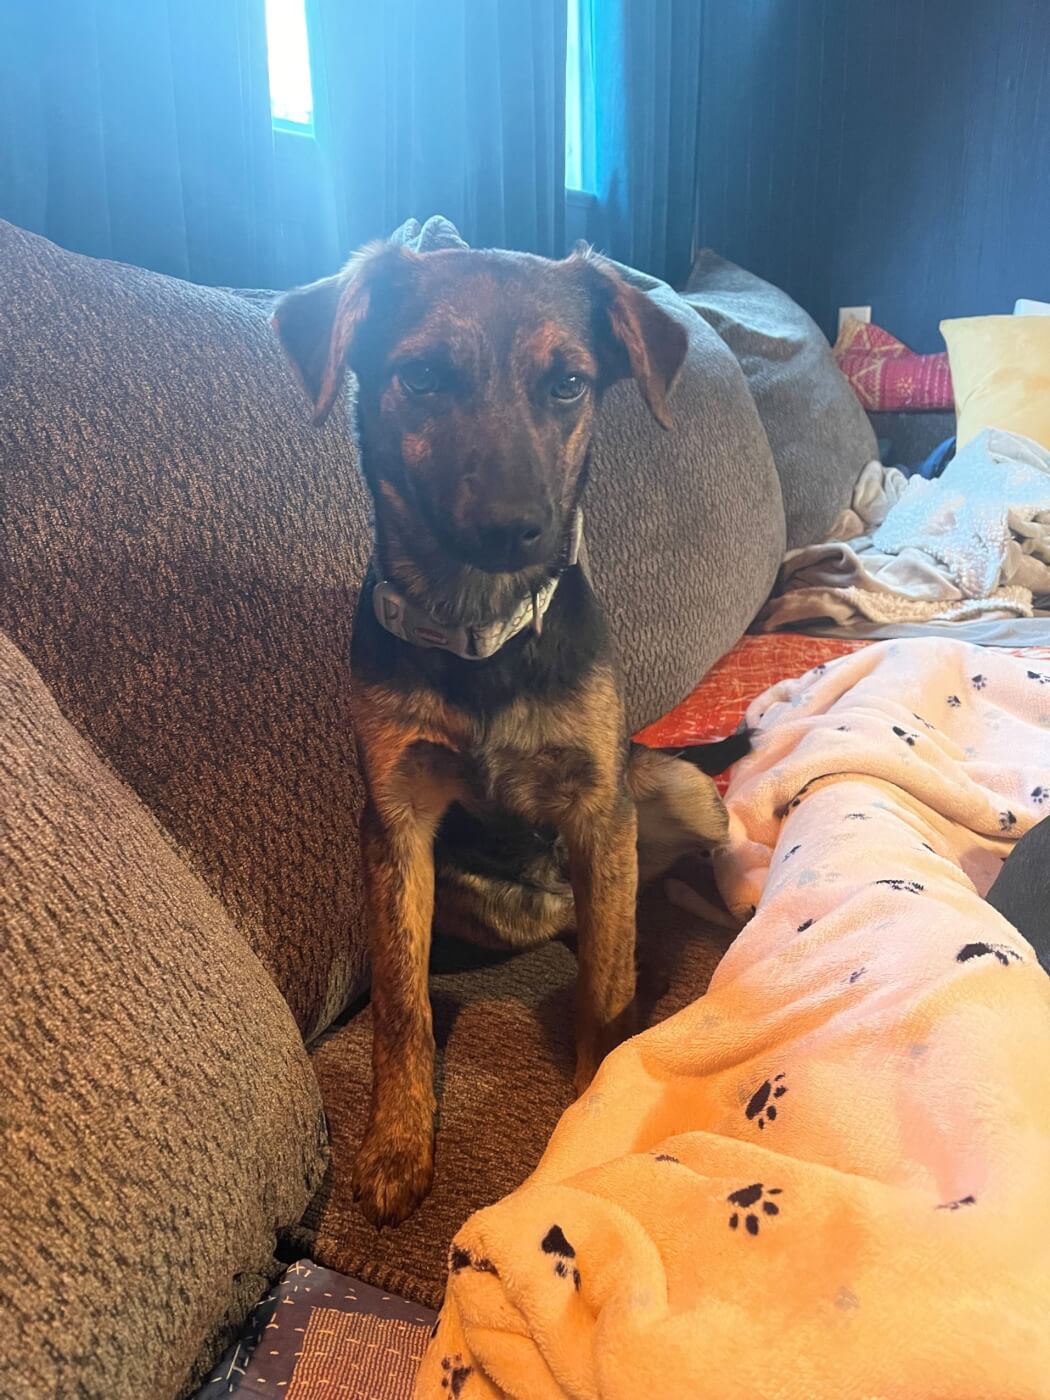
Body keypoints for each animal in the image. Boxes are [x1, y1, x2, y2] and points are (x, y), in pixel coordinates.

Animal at [275, 243, 733, 1226]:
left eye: (569, 384)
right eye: (420, 377)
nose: (512, 528)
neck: (480, 630)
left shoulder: (599, 807)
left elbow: (603, 989)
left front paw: (592, 1110)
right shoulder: (395, 824)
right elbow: (402, 1003)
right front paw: (396, 1143)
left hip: (672, 791)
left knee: (676, 886)